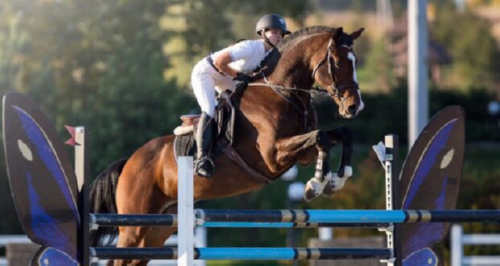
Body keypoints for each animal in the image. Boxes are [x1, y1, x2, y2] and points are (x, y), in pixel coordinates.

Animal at [90, 25, 364, 266]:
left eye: (355, 62)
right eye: (337, 63)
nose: (354, 107)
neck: (281, 92)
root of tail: (129, 162)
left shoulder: (301, 153)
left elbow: (338, 135)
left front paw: (336, 178)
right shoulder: (273, 154)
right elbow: (321, 137)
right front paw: (316, 184)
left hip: (157, 230)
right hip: (134, 226)